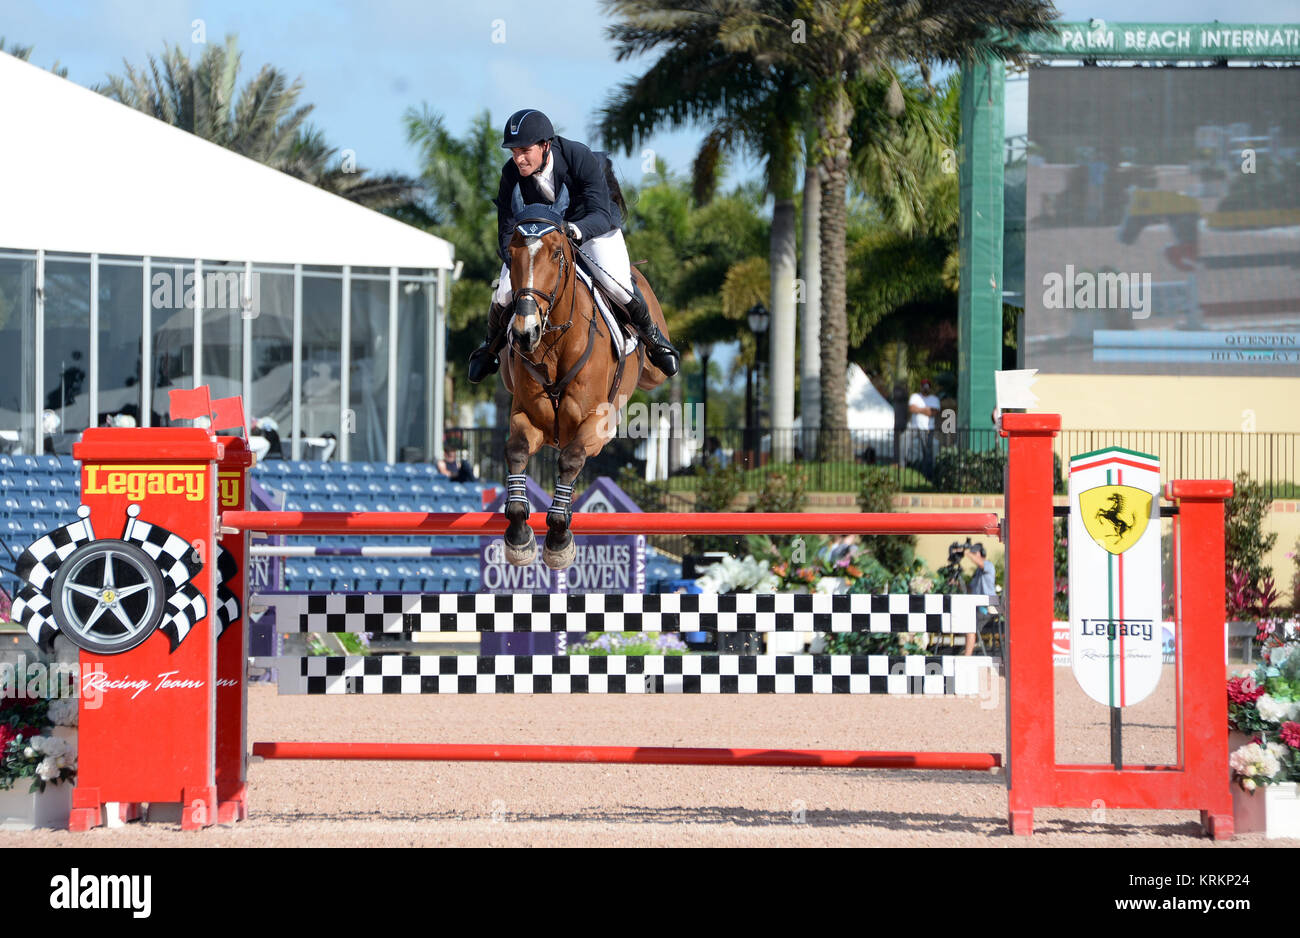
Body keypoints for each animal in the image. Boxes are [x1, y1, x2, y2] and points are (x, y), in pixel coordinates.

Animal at [499, 181, 670, 563]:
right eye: (511, 255)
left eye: (555, 254)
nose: (524, 333)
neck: (555, 344)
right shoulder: (528, 419)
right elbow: (516, 452)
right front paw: (519, 537)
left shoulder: (597, 424)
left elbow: (570, 458)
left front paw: (559, 538)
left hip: (654, 368)